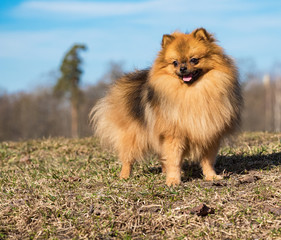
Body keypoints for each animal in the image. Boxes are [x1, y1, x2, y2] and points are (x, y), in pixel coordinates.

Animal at [89, 27, 241, 186]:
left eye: (194, 60)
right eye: (175, 62)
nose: (183, 68)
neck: (192, 92)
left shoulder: (209, 134)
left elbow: (208, 160)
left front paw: (211, 176)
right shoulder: (174, 135)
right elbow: (174, 159)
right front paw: (173, 180)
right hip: (133, 135)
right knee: (128, 158)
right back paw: (124, 176)